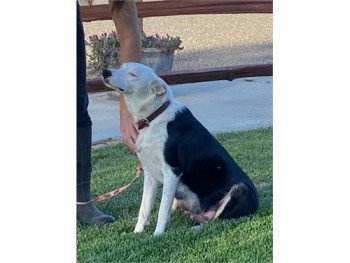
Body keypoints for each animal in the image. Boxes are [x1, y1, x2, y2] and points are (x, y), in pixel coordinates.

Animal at [102, 63, 258, 236]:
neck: (153, 117)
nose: (105, 72)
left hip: (241, 189)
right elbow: (144, 208)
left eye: (133, 74)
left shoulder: (172, 172)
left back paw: (195, 228)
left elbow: (162, 209)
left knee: (214, 221)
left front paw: (157, 235)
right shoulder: (150, 174)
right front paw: (138, 232)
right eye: (122, 66)